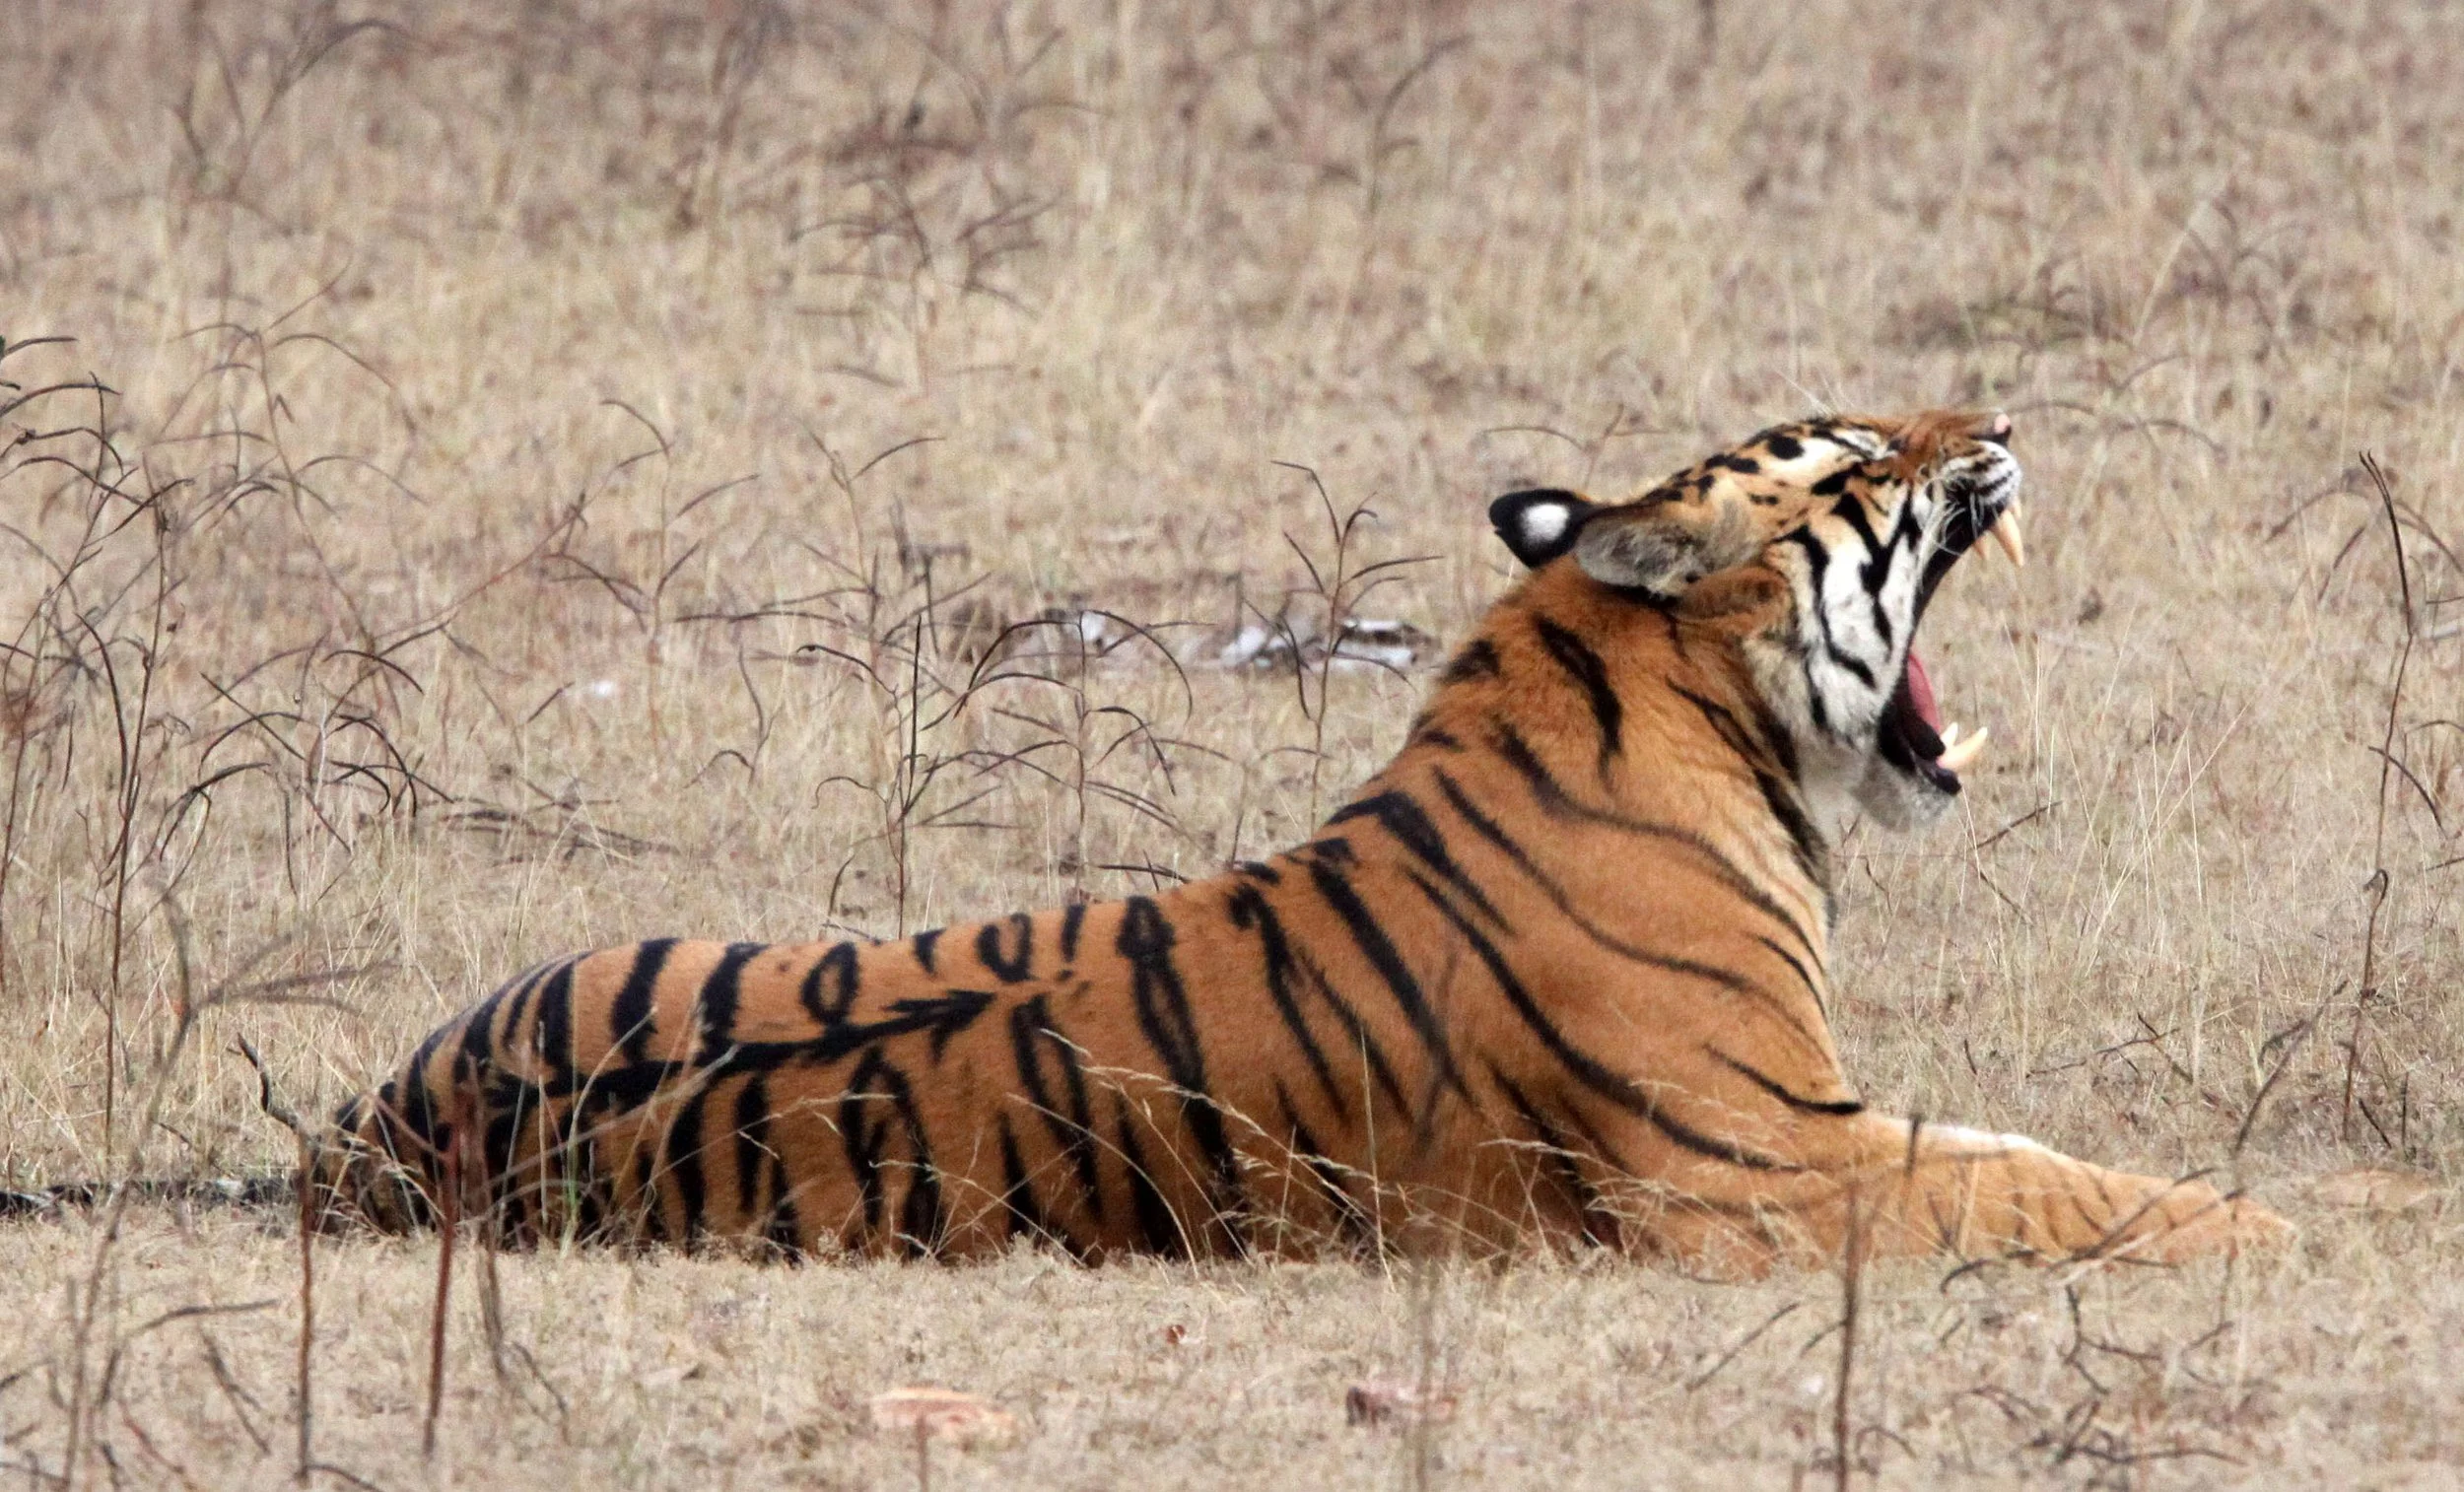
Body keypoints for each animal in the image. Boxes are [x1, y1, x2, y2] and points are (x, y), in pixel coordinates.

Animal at [310, 409, 2290, 1275]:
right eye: (1869, 459)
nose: (2002, 419)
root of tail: (371, 1134)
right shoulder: (1763, 1164)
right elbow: (2061, 1184)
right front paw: (2306, 1219)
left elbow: (2042, 1154)